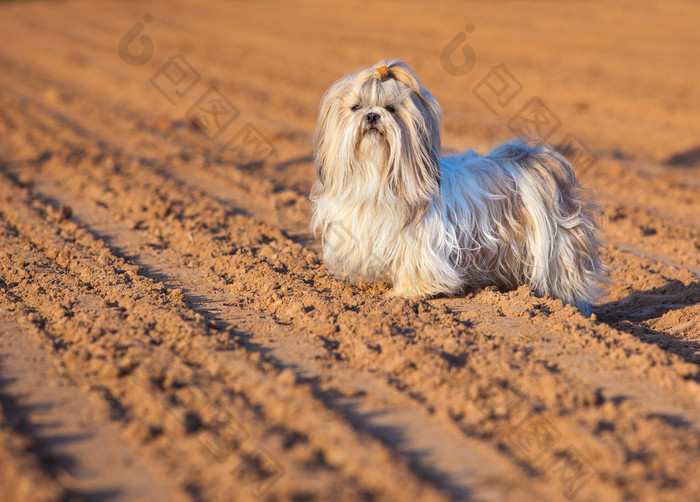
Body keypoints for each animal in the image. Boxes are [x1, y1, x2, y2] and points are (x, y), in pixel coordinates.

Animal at [308, 59, 604, 314]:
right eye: (356, 107)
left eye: (391, 108)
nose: (372, 116)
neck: (377, 176)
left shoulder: (418, 243)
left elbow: (415, 267)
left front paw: (406, 293)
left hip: (557, 250)